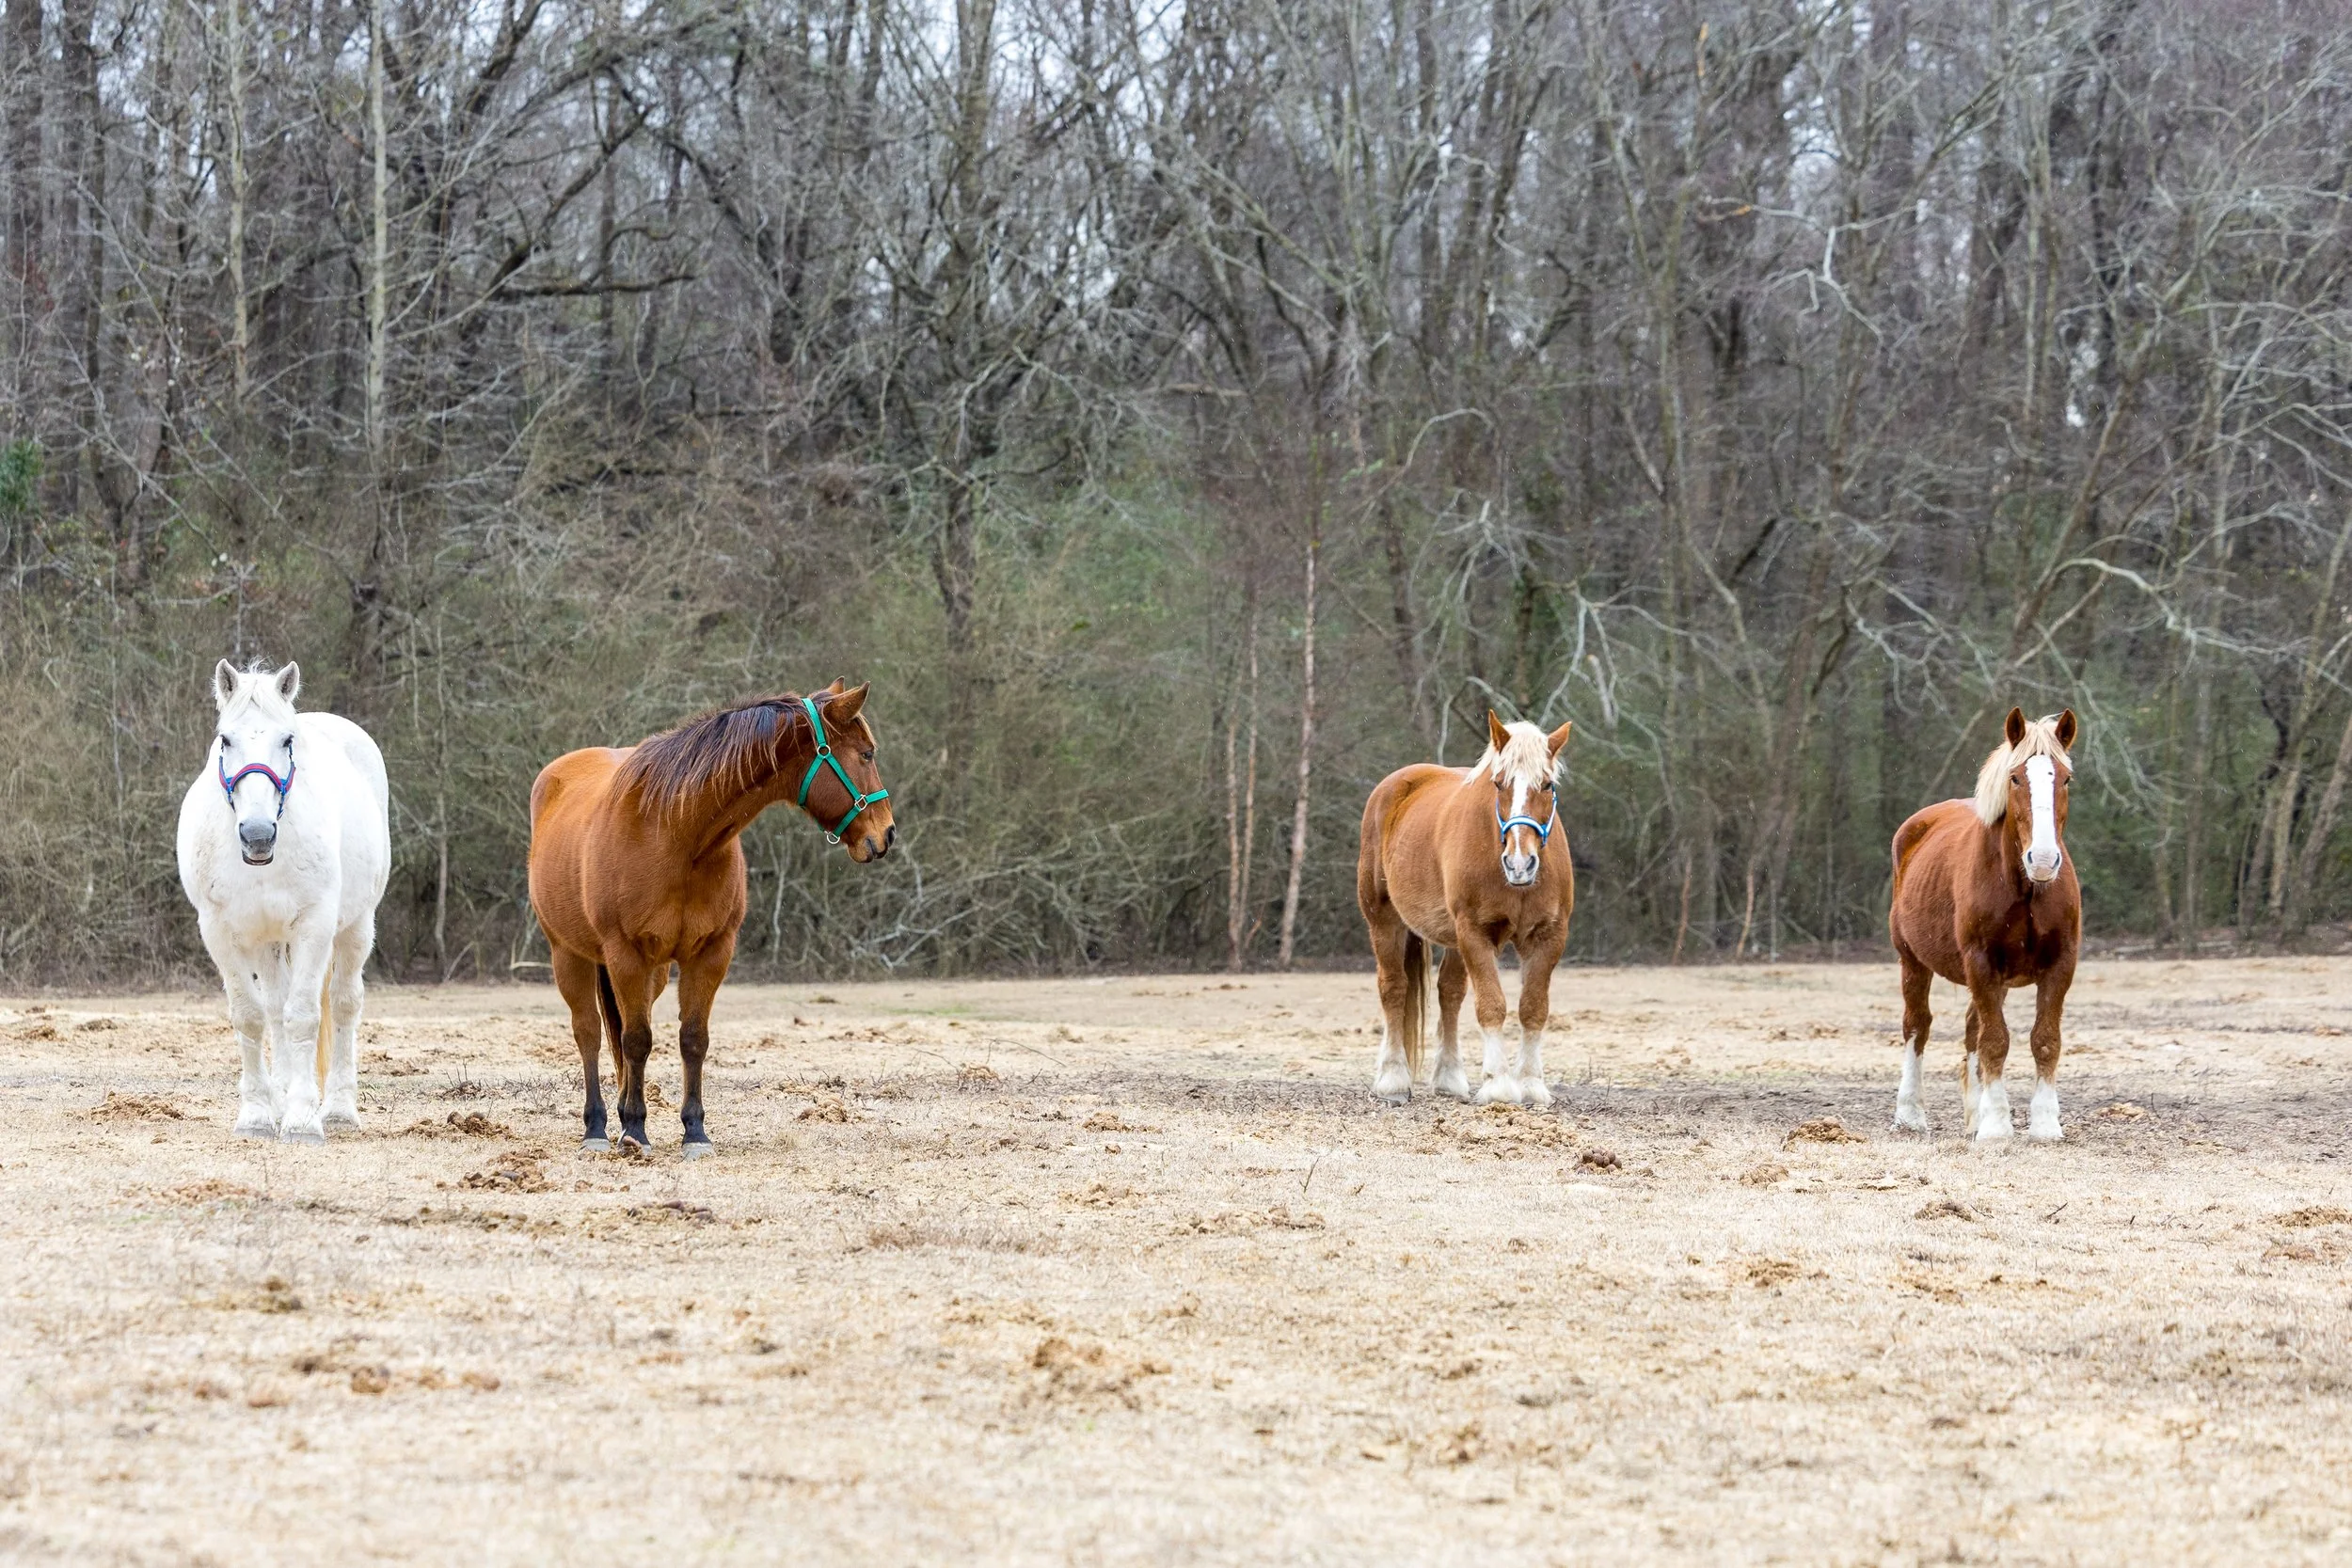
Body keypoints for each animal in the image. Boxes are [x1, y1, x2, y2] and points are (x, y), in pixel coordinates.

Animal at [175, 660, 392, 1143]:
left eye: (287, 741)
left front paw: (303, 1121)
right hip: (268, 941)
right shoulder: (220, 932)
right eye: (225, 739)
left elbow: (304, 1016)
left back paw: (338, 1110)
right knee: (273, 1009)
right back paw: (280, 1097)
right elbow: (251, 1016)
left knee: (344, 1003)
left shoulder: (315, 927)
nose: (257, 835)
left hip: (356, 926)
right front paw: (257, 1115)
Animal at [527, 680, 895, 1157]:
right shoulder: (626, 953)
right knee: (589, 1033)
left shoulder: (711, 953)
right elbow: (636, 1040)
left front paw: (693, 1131)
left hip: (654, 972)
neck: (677, 835)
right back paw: (597, 1127)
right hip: (570, 955)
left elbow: (691, 1039)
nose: (886, 834)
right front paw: (636, 1130)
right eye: (866, 754)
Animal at [1358, 712, 1576, 1107]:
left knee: (1450, 994)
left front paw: (1531, 1084)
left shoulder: (1549, 936)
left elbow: (1533, 1008)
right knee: (1394, 988)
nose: (1519, 864)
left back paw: (1448, 1079)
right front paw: (1498, 1084)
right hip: (1384, 920)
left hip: (1453, 938)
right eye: (1499, 783)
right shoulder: (1474, 932)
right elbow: (1491, 1005)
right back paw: (1393, 1078)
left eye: (1547, 784)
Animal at [1888, 707, 2082, 1144]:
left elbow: (2045, 1039)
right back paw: (1910, 1113)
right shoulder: (1981, 963)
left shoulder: (2060, 965)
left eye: (2065, 778)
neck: (2024, 887)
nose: (2043, 860)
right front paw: (1996, 1126)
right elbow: (1995, 1041)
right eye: (2016, 778)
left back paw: (1973, 1114)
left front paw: (2044, 1123)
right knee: (1917, 1026)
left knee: (1970, 1029)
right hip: (1913, 961)